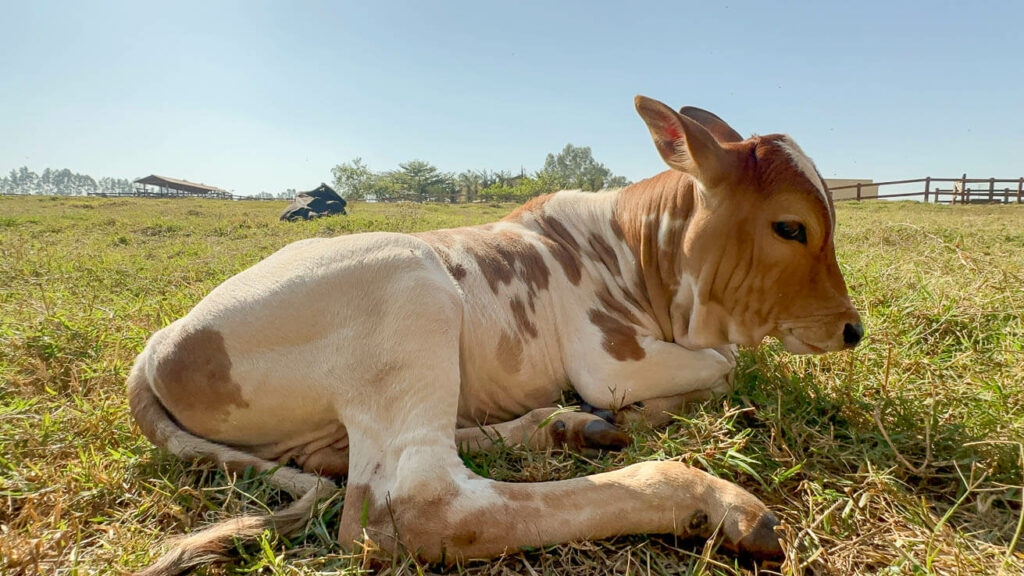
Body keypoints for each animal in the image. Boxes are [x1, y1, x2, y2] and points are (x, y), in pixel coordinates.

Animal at [128, 95, 864, 573]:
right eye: (790, 226)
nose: (852, 328)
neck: (636, 252)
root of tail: (163, 342)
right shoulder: (611, 363)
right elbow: (725, 364)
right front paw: (654, 412)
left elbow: (727, 360)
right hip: (411, 281)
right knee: (419, 506)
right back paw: (707, 497)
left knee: (343, 462)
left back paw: (564, 428)